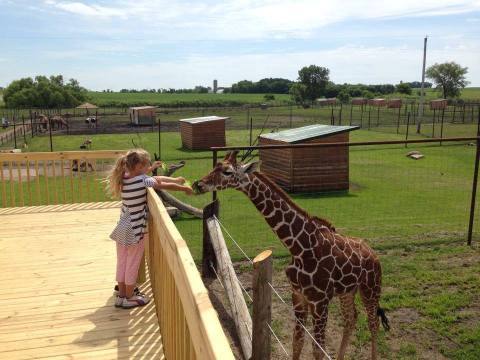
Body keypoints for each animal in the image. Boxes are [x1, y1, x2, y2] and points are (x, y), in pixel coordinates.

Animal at [192, 151, 390, 360]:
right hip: (348, 291)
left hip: (370, 289)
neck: (299, 247)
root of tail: (374, 255)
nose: (198, 184)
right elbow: (297, 342)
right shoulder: (298, 295)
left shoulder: (319, 301)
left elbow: (318, 349)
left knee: (373, 324)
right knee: (351, 319)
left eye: (227, 171)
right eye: (216, 166)